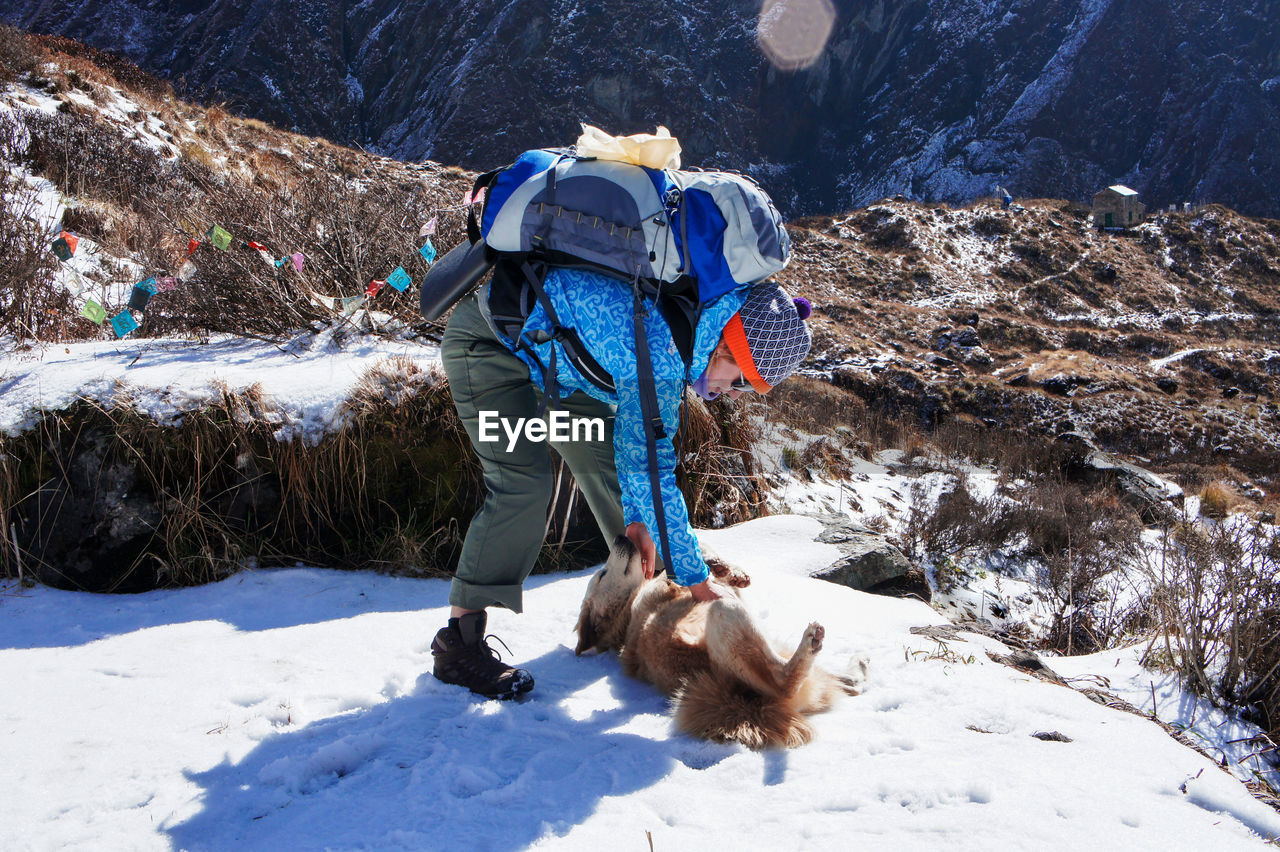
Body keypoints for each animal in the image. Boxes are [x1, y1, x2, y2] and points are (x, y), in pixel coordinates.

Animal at [576, 534, 865, 747]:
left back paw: (857, 667)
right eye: (602, 574)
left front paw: (727, 568)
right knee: (785, 680)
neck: (627, 616)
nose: (620, 536)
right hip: (724, 611)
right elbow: (680, 568)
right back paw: (811, 644)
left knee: (847, 683)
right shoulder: (668, 590)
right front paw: (714, 563)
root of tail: (744, 702)